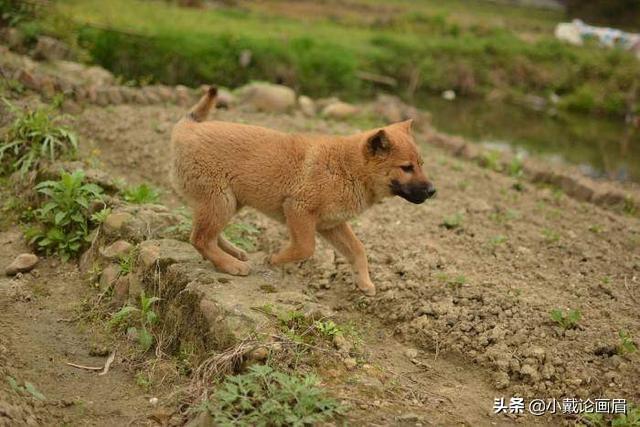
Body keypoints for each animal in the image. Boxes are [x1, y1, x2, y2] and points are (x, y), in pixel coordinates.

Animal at [172, 85, 438, 296]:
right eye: (406, 168)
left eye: (421, 164)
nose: (433, 191)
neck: (348, 168)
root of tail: (187, 128)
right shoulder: (298, 209)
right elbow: (306, 247)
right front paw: (275, 259)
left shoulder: (332, 225)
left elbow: (358, 250)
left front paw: (364, 282)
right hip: (220, 200)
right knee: (200, 238)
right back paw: (230, 265)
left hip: (229, 202)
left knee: (207, 234)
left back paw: (233, 254)